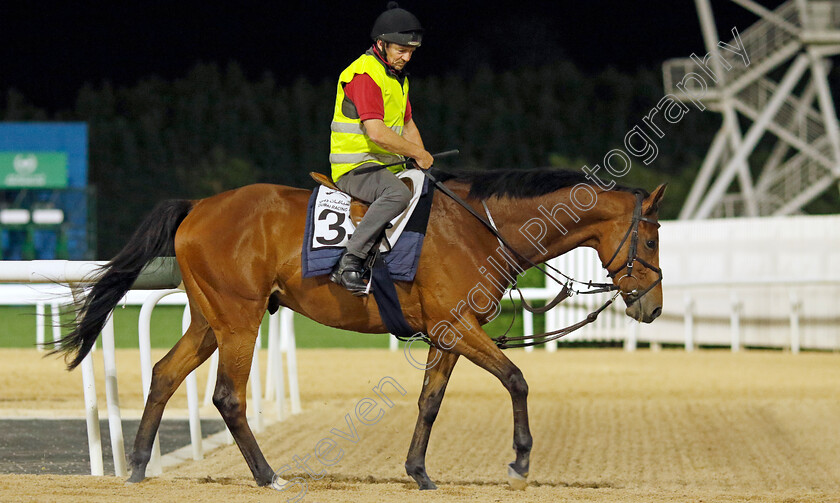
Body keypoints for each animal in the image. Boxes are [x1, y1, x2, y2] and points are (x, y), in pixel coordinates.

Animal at [55, 169, 668, 492]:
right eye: (652, 238)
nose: (654, 306)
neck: (481, 229)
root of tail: (199, 206)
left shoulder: (448, 334)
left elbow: (429, 402)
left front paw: (419, 472)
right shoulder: (458, 324)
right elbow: (516, 378)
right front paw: (519, 460)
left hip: (210, 321)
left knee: (164, 374)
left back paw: (138, 468)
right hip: (239, 320)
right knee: (228, 395)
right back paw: (268, 476)